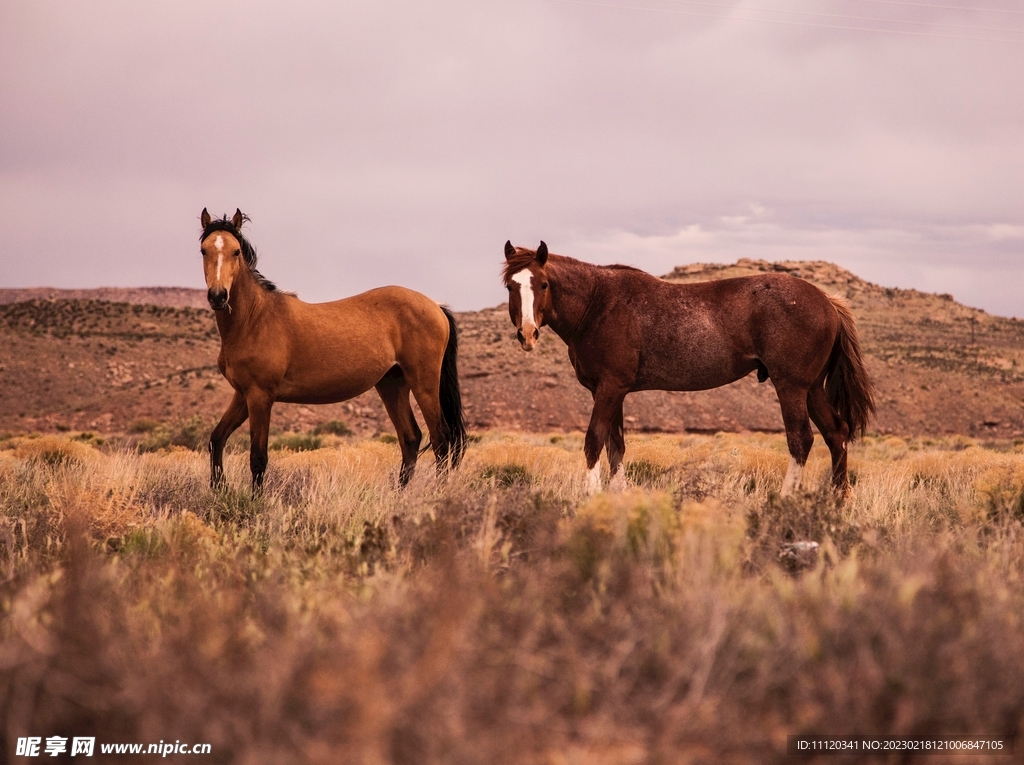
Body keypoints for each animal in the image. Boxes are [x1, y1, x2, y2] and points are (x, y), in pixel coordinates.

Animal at [196, 209, 468, 493]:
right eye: (204, 250)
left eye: (236, 251)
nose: (218, 296)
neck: (254, 319)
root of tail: (436, 306)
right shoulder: (243, 395)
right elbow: (216, 439)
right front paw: (218, 488)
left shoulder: (260, 397)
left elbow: (258, 457)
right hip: (392, 384)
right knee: (411, 438)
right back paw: (399, 494)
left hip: (424, 384)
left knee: (441, 440)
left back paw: (438, 492)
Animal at [499, 242, 876, 499]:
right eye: (511, 286)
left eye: (543, 284)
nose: (527, 334)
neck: (597, 304)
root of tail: (827, 301)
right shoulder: (612, 392)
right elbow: (616, 446)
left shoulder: (608, 389)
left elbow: (594, 440)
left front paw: (590, 496)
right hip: (811, 389)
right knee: (836, 434)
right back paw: (837, 501)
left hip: (792, 387)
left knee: (802, 440)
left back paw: (785, 500)